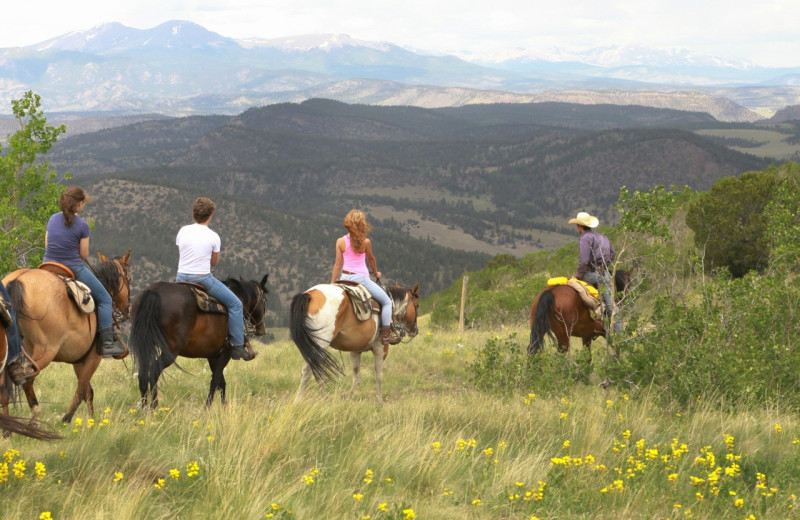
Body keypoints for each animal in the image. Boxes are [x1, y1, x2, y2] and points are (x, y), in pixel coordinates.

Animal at [0, 250, 131, 424]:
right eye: (129, 279)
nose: (127, 308)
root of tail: (18, 279)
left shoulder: (79, 361)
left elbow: (88, 392)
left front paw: (92, 421)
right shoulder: (93, 358)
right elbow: (82, 391)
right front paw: (67, 419)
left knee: (3, 389)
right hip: (45, 350)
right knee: (26, 378)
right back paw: (35, 418)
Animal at [128, 274, 268, 408]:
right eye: (264, 300)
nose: (261, 329)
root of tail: (153, 291)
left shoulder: (213, 356)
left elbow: (221, 382)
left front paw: (223, 407)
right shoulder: (225, 353)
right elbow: (216, 381)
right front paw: (208, 407)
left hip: (146, 344)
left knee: (143, 373)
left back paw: (144, 407)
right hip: (170, 350)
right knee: (154, 372)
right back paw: (154, 406)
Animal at [290, 284, 422, 402]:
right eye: (417, 305)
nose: (415, 330)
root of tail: (309, 295)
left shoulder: (355, 351)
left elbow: (357, 377)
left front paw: (349, 398)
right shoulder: (381, 348)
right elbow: (379, 376)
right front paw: (379, 400)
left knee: (316, 370)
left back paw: (324, 397)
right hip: (320, 345)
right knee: (308, 371)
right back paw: (298, 401)